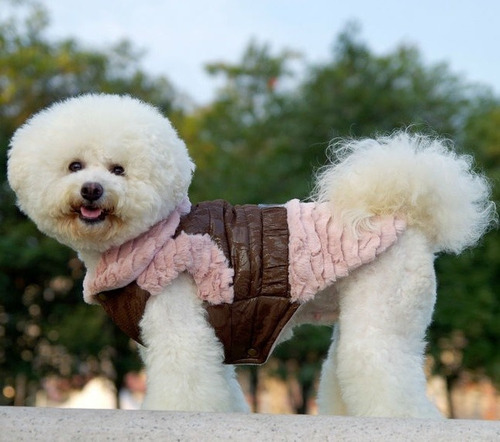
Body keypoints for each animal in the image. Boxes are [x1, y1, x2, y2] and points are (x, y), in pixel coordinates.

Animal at [6, 94, 492, 418]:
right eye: (74, 166)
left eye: (118, 170)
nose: (92, 189)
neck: (152, 236)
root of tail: (405, 213)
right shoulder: (211, 338)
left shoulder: (181, 324)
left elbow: (186, 388)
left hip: (385, 314)